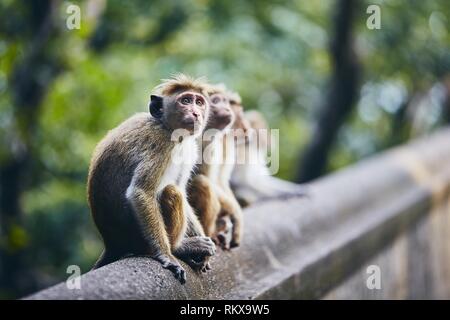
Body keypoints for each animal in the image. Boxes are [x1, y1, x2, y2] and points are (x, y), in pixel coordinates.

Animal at [87, 74, 216, 282]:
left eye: (199, 102)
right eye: (186, 101)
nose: (196, 113)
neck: (166, 126)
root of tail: (112, 244)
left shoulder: (189, 148)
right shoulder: (160, 144)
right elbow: (141, 192)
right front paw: (167, 256)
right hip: (139, 240)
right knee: (171, 192)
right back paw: (179, 247)